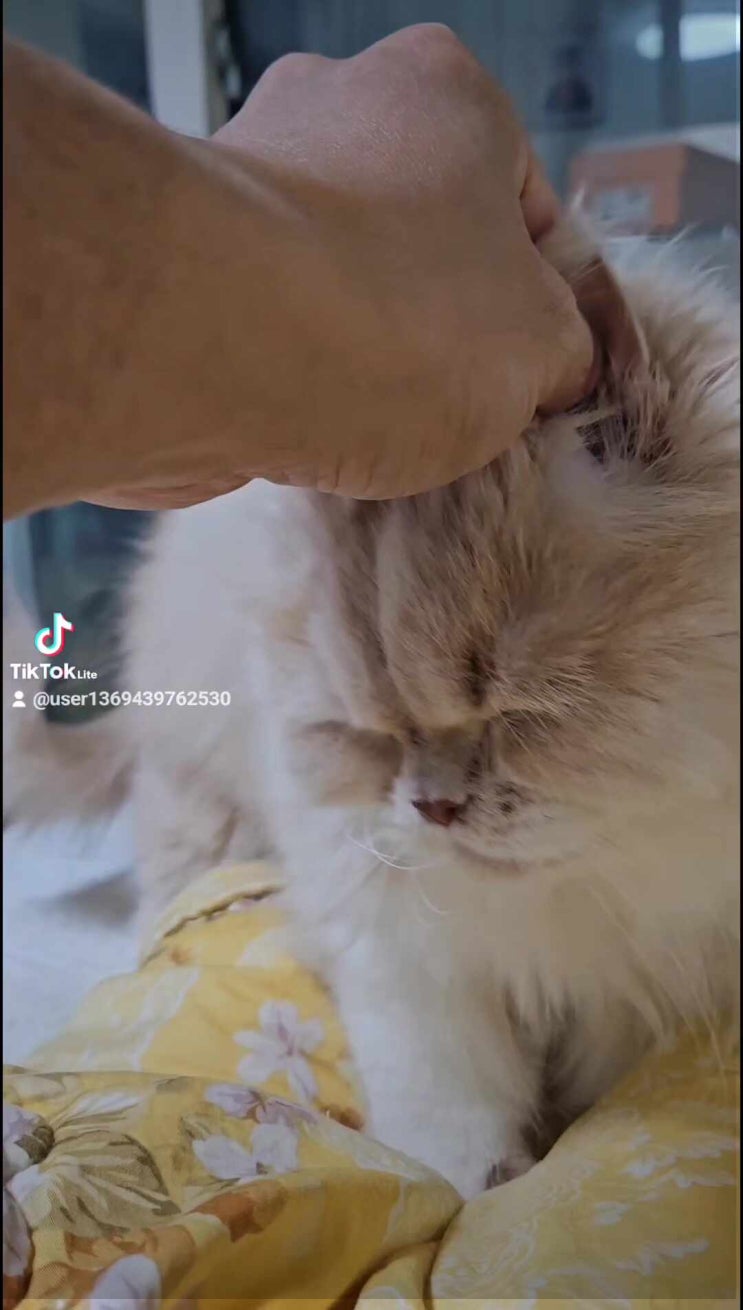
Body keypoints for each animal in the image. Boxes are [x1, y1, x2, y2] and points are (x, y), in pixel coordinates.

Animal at [5, 223, 739, 1197]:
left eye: (525, 712)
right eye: (374, 734)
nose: (434, 807)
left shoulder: (648, 970)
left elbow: (597, 1084)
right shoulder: (397, 946)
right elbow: (448, 1106)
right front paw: (472, 1189)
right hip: (204, 812)